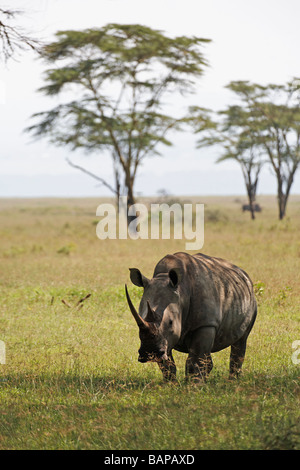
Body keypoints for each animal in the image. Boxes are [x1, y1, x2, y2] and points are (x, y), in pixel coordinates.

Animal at [125, 253, 256, 382]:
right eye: (140, 318)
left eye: (170, 322)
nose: (150, 353)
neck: (182, 292)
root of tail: (242, 272)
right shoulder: (166, 337)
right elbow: (167, 365)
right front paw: (170, 384)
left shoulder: (205, 323)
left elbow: (195, 361)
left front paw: (194, 386)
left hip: (250, 299)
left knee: (241, 340)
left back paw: (233, 381)